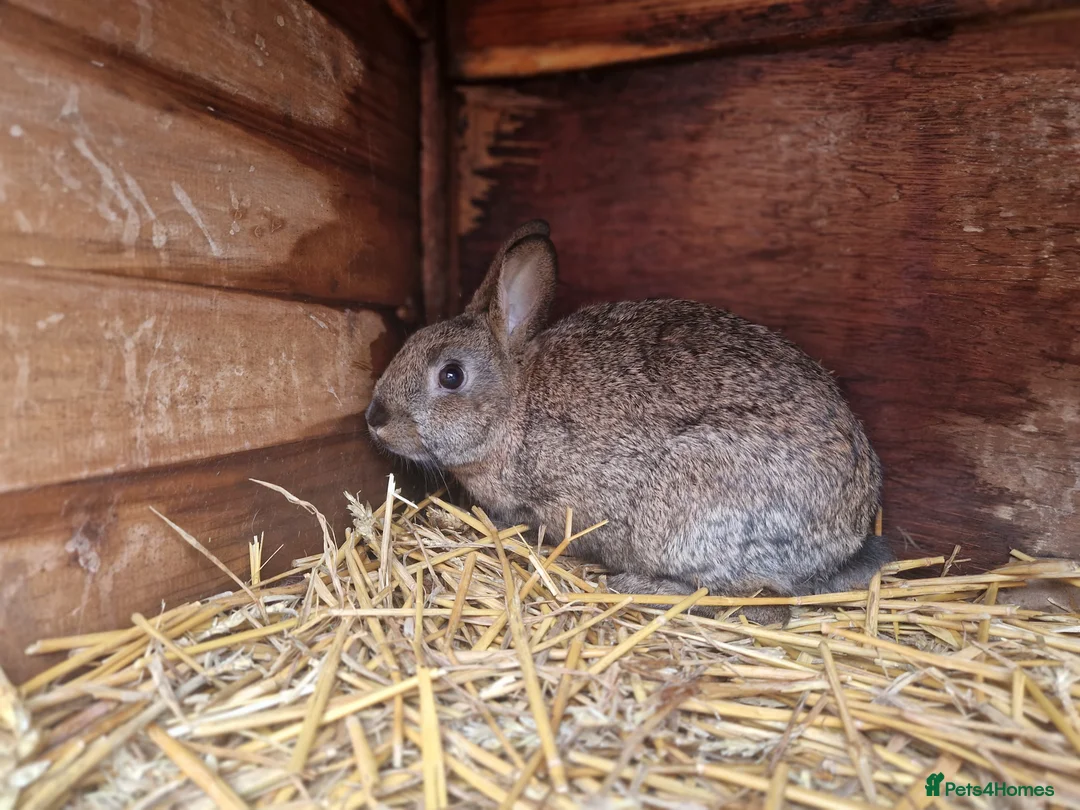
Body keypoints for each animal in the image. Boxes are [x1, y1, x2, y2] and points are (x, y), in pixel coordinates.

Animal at [365, 219, 891, 625]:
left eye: (451, 375)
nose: (375, 418)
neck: (516, 403)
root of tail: (848, 532)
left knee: (758, 602)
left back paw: (635, 585)